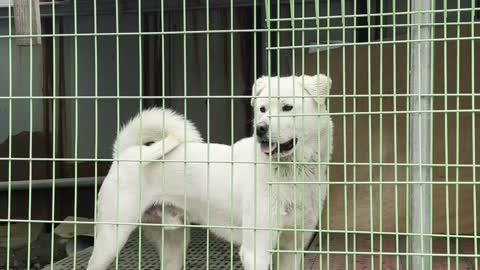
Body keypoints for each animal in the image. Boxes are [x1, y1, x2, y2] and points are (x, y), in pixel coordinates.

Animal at [87, 74, 334, 270]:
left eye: (287, 107)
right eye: (262, 109)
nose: (260, 129)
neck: (291, 174)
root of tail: (125, 153)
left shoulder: (293, 248)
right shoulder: (256, 251)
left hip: (174, 244)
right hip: (111, 238)